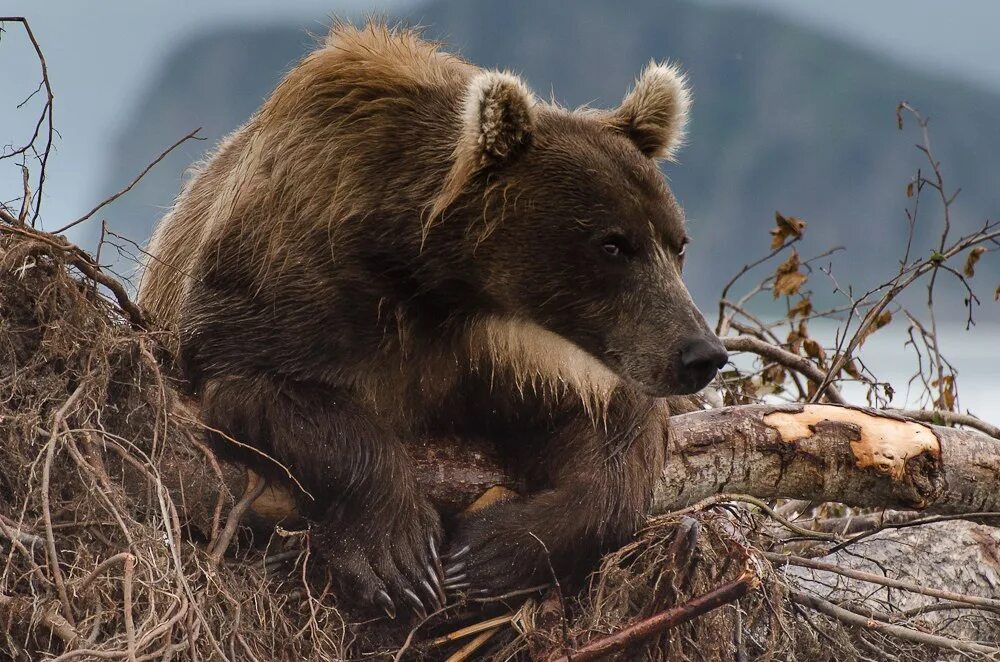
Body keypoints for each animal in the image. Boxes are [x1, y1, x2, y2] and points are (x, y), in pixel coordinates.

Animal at [139, 22, 728, 624]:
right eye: (612, 244)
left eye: (677, 243)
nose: (701, 353)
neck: (435, 279)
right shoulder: (282, 291)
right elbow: (280, 398)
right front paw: (394, 557)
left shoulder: (528, 357)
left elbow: (611, 445)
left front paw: (490, 552)